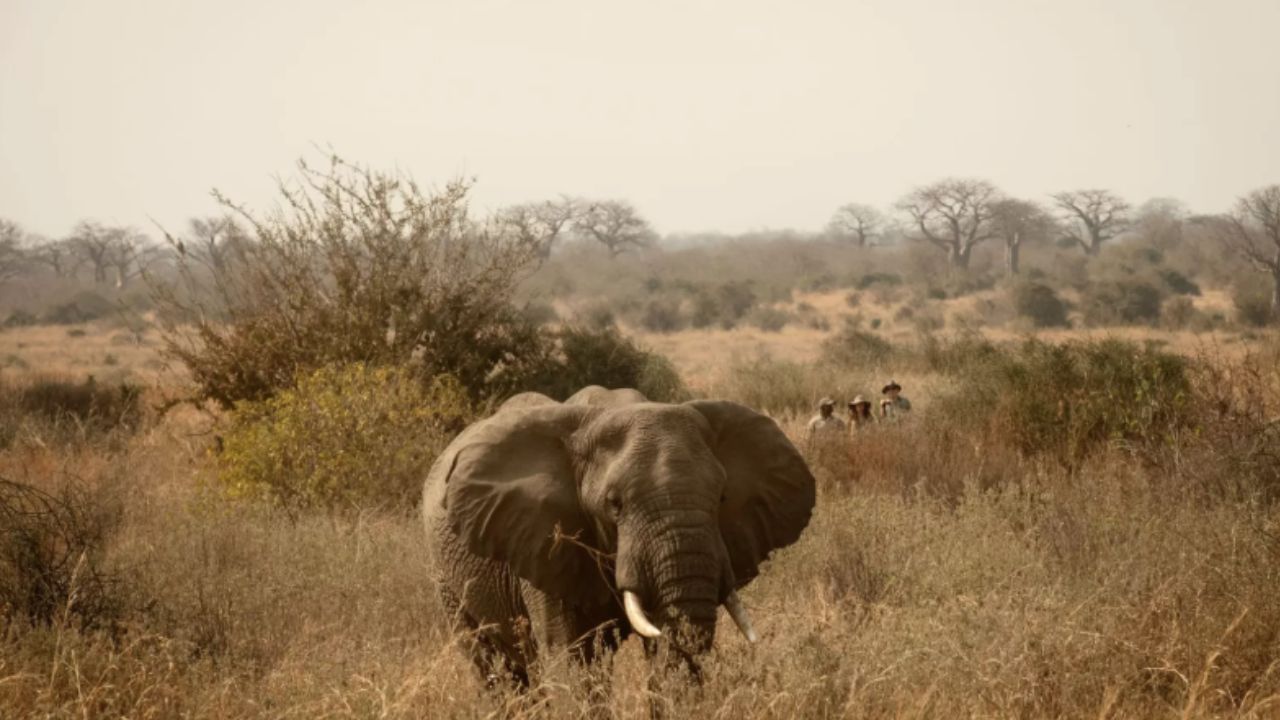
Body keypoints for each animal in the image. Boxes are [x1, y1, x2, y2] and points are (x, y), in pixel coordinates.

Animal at [422, 385, 816, 687]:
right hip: (446, 581)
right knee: (494, 669)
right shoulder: (544, 544)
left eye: (721, 498)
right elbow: (570, 659)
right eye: (615, 504)